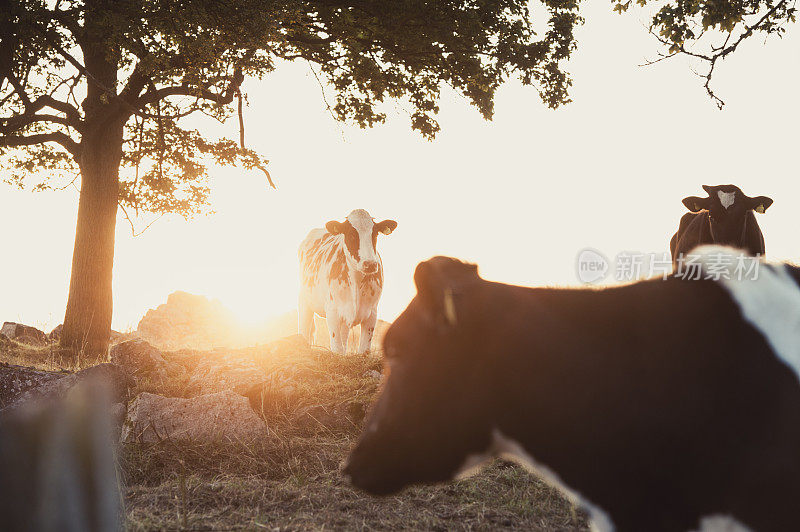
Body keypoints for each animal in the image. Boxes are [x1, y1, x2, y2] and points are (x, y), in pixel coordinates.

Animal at [296, 210, 396, 356]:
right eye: (351, 234)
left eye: (375, 234)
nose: (370, 264)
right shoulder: (332, 312)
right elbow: (337, 349)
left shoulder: (371, 313)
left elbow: (363, 350)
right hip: (304, 301)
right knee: (304, 331)